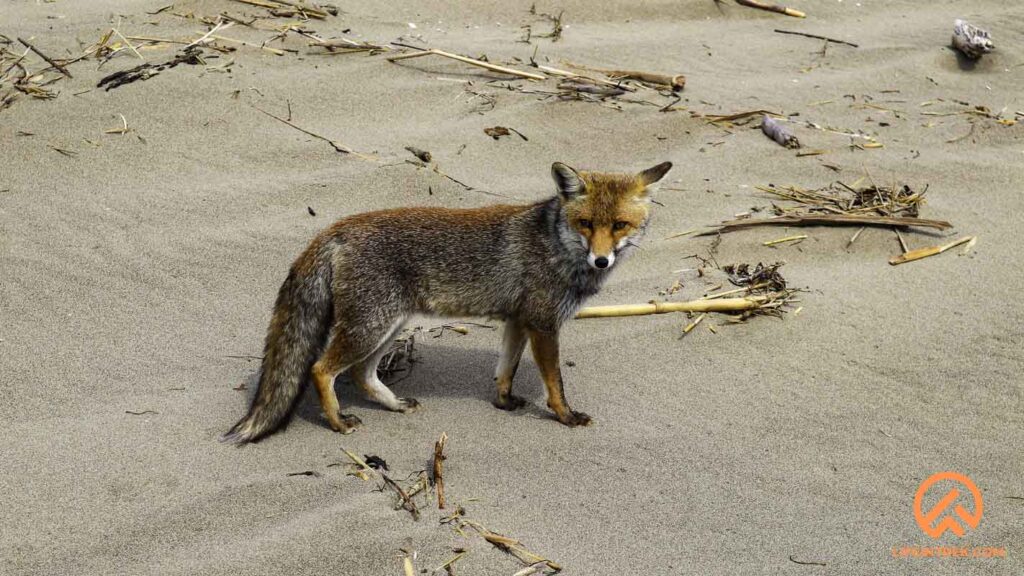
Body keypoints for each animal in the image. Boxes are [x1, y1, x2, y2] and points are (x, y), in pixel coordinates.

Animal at [224, 161, 671, 444]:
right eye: (586, 224)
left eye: (619, 226)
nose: (601, 260)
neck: (556, 245)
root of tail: (335, 229)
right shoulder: (544, 324)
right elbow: (555, 384)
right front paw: (565, 417)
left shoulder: (517, 321)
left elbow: (505, 370)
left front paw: (503, 402)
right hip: (370, 327)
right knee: (321, 369)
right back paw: (338, 423)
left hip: (388, 327)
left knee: (361, 376)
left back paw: (393, 404)